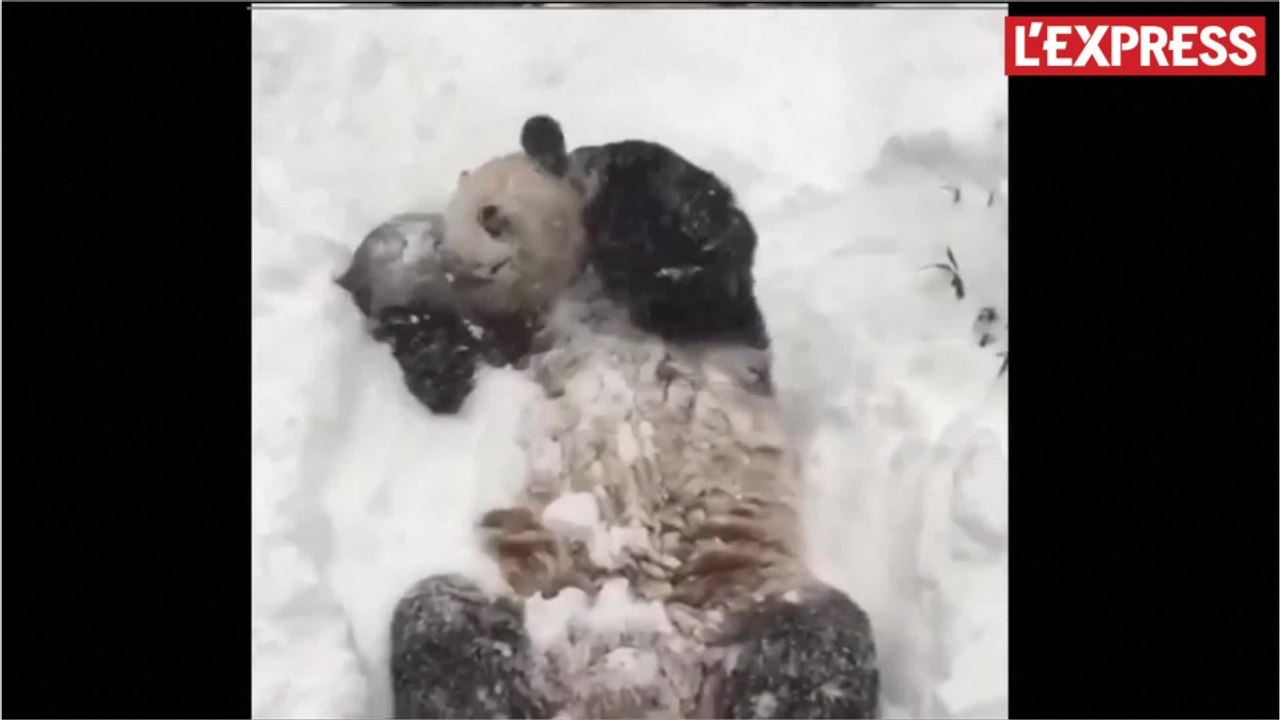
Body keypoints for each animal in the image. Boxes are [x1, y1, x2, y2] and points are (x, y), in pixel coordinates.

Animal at [338, 116, 879, 719]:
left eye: (491, 215)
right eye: (446, 239)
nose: (466, 263)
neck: (575, 289)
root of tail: (628, 684)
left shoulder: (708, 311)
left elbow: (696, 244)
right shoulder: (512, 349)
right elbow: (450, 378)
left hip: (751, 598)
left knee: (818, 646)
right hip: (522, 610)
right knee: (440, 628)